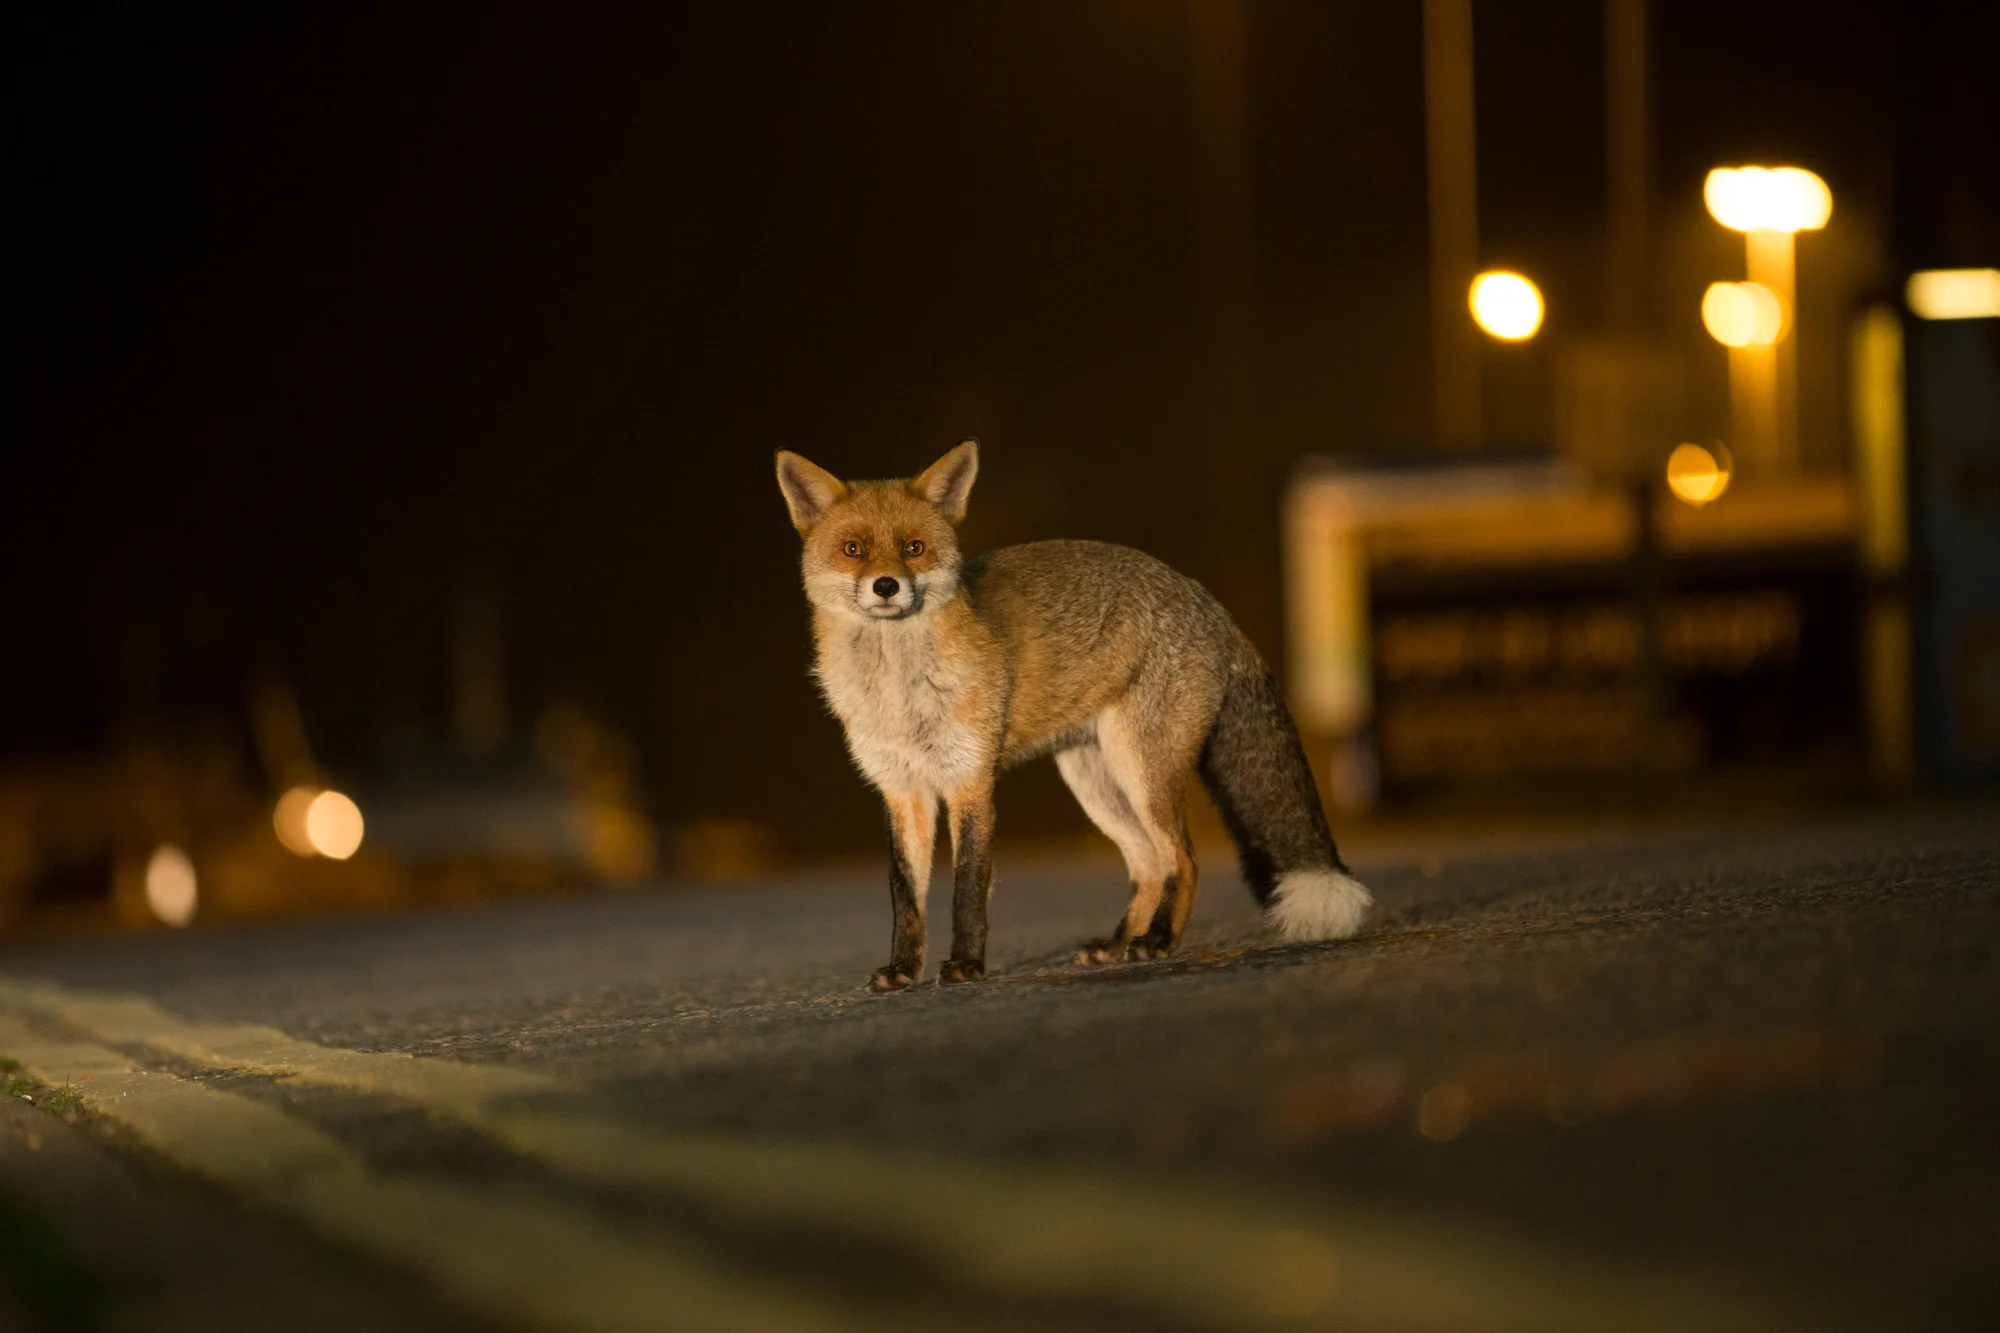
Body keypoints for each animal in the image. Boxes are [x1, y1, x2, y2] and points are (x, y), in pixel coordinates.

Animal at [775, 438, 1371, 991]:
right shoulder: (902, 789)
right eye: (853, 549)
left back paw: (1158, 941)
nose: (886, 586)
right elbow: (906, 895)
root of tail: (1205, 598)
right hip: (1094, 782)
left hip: (1141, 771)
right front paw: (902, 971)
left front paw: (966, 965)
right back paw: (1119, 944)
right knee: (1148, 864)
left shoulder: (971, 781)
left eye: (913, 548)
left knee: (1184, 858)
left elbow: (967, 888)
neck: (899, 693)